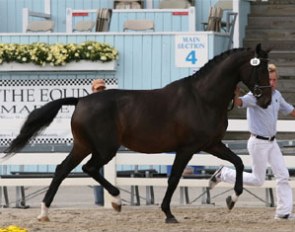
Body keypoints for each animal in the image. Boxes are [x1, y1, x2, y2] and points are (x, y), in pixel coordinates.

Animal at [2, 43, 272, 223]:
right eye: (259, 68)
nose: (266, 100)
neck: (202, 98)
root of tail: (81, 100)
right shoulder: (187, 148)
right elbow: (174, 179)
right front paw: (168, 213)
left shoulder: (211, 144)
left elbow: (238, 162)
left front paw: (231, 200)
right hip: (104, 149)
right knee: (88, 168)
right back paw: (116, 201)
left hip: (83, 146)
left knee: (62, 170)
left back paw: (45, 212)